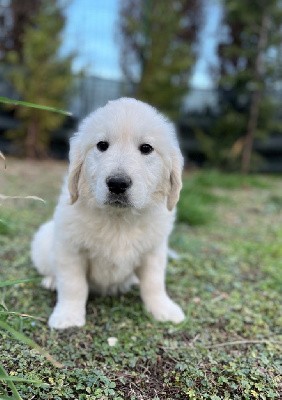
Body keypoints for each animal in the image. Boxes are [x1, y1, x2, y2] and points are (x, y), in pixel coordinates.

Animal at [31, 98, 185, 330]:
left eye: (146, 148)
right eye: (102, 145)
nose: (117, 183)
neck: (118, 218)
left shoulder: (153, 251)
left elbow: (154, 283)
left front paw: (163, 309)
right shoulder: (70, 249)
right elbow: (73, 285)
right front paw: (68, 316)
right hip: (44, 240)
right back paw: (51, 281)